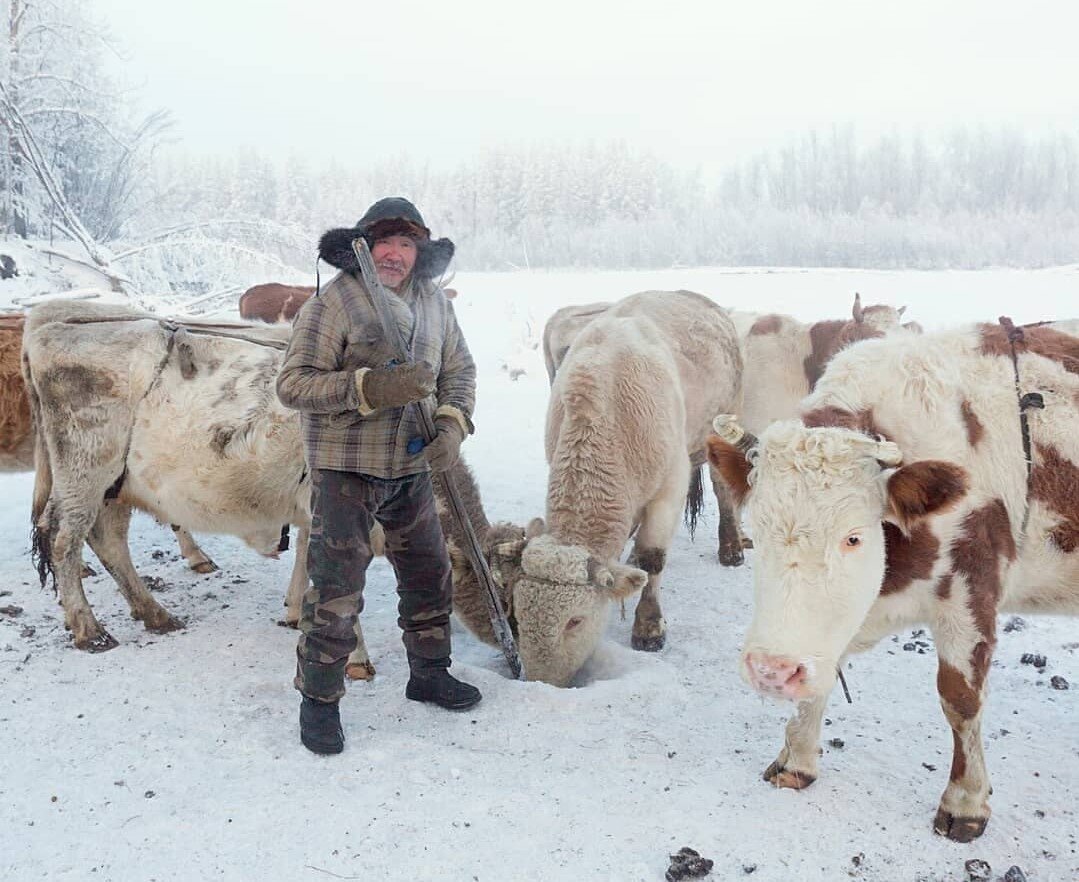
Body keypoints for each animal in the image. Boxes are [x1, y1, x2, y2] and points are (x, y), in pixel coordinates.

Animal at [494, 287, 746, 682]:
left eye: (575, 621)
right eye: (517, 612)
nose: (541, 682)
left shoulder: (669, 489)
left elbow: (654, 558)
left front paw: (649, 627)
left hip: (722, 422)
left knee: (722, 486)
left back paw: (732, 547)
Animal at [707, 321, 1079, 837]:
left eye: (854, 537)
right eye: (756, 533)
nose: (771, 671)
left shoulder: (970, 593)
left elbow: (961, 698)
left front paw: (964, 802)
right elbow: (823, 671)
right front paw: (796, 760)